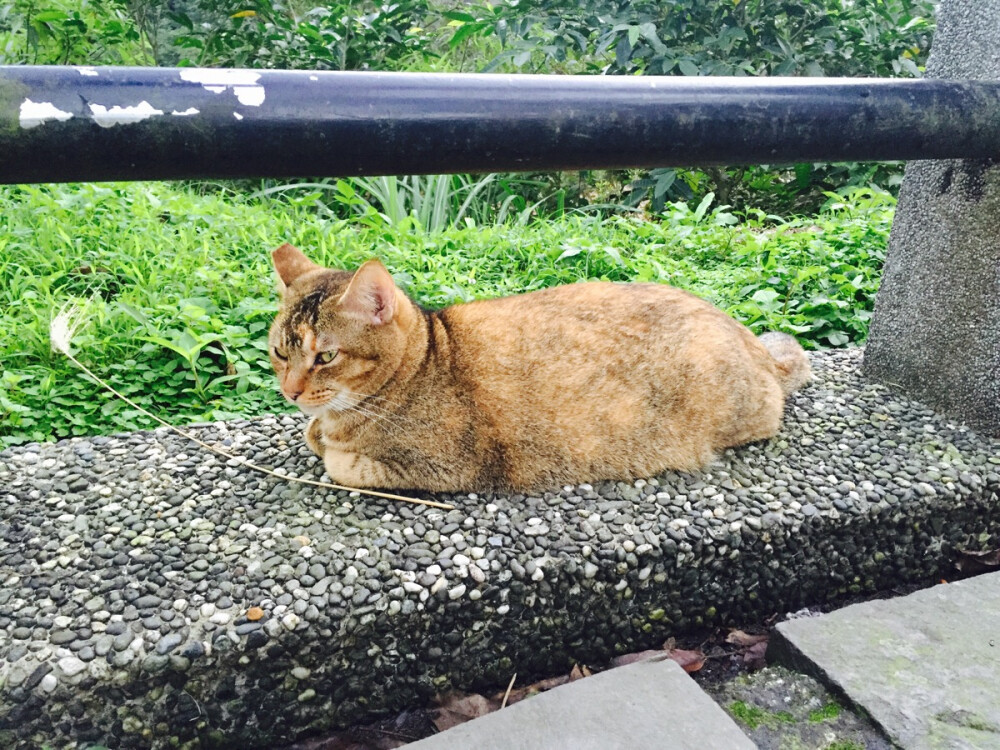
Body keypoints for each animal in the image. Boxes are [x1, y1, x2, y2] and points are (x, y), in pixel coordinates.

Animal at [268, 244, 812, 496]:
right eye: (279, 352)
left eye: (325, 357)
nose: (290, 392)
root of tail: (750, 339)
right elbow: (315, 434)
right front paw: (315, 431)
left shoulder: (448, 467)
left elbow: (339, 463)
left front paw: (327, 443)